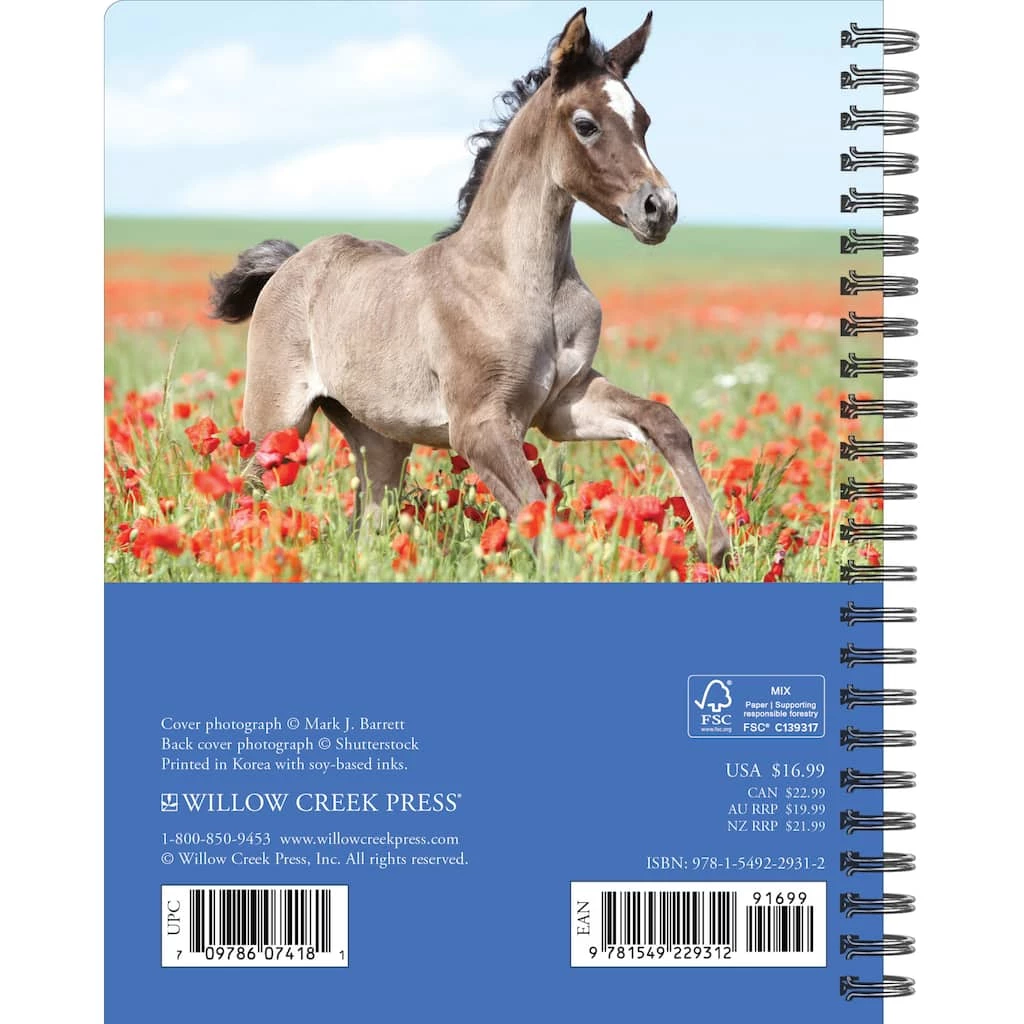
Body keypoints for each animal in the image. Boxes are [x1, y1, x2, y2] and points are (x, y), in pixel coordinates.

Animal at [210, 8, 730, 567]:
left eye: (644, 121)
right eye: (585, 125)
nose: (660, 207)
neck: (522, 284)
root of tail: (291, 263)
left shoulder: (563, 404)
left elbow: (662, 420)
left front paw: (715, 548)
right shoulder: (479, 426)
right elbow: (536, 513)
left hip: (381, 441)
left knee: (365, 522)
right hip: (276, 425)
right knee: (244, 491)